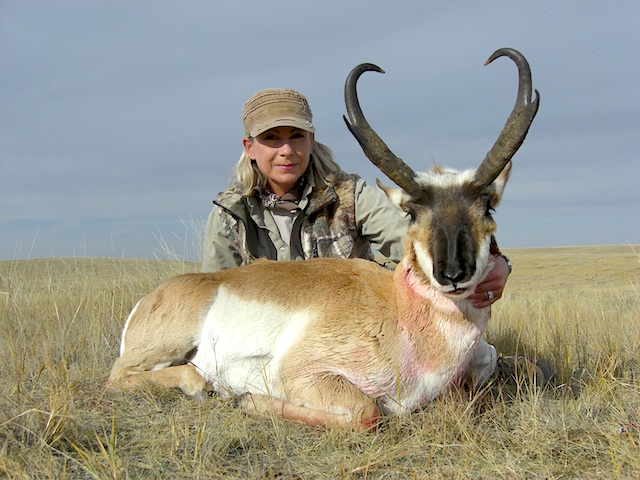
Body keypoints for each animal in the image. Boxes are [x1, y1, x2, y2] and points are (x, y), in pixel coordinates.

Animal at [109, 49, 540, 432]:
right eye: (412, 212)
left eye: (488, 207)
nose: (452, 273)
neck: (397, 305)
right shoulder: (303, 374)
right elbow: (367, 413)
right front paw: (249, 399)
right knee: (130, 376)